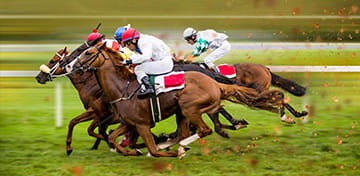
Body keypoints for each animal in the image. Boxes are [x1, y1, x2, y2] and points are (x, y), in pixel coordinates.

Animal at [70, 42, 288, 157]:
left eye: (88, 52)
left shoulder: (142, 124)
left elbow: (151, 149)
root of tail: (213, 82)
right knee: (185, 131)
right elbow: (113, 138)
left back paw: (181, 146)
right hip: (181, 112)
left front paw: (163, 150)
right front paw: (134, 150)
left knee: (203, 129)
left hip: (188, 108)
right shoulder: (128, 123)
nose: (71, 66)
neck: (122, 88)